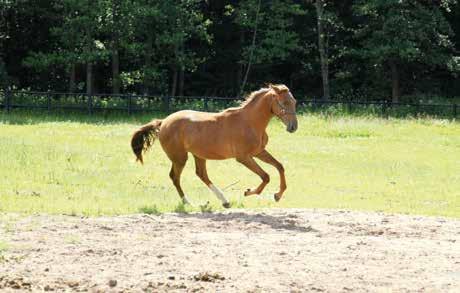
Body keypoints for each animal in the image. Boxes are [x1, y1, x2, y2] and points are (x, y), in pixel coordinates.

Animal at [131, 84, 298, 208]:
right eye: (284, 103)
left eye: (294, 102)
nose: (293, 127)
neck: (250, 122)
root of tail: (163, 122)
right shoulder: (243, 157)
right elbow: (266, 176)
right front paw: (248, 192)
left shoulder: (259, 152)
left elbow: (280, 166)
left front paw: (278, 195)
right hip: (180, 158)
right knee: (175, 177)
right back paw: (189, 203)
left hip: (198, 155)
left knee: (201, 174)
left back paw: (224, 201)